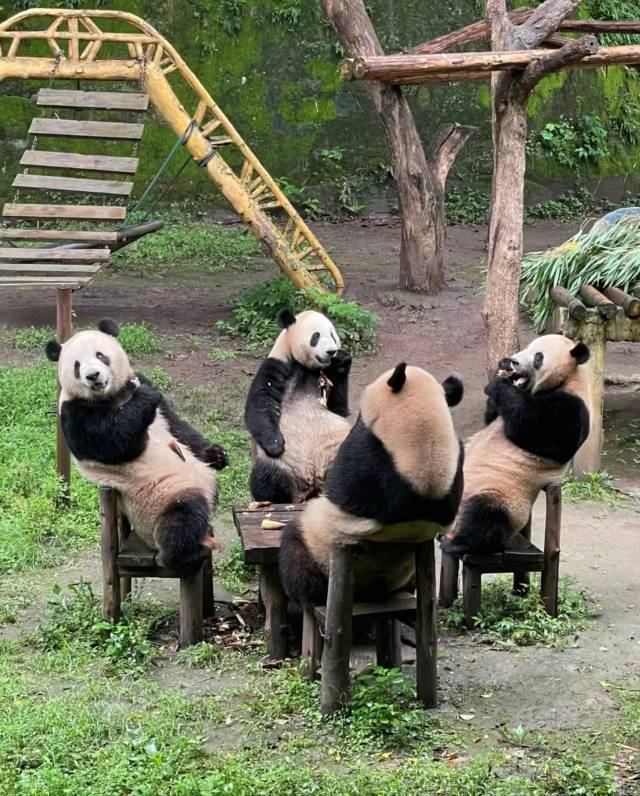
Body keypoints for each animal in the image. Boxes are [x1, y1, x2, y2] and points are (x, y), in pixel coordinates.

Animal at [45, 319, 228, 570]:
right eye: (77, 365)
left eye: (100, 355)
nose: (92, 376)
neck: (110, 396)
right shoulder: (72, 412)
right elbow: (112, 443)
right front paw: (144, 397)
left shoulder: (146, 390)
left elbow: (176, 425)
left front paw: (216, 454)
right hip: (159, 499)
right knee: (182, 518)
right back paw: (188, 552)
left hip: (202, 478)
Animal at [245, 308, 352, 504]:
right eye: (316, 336)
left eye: (333, 335)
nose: (331, 351)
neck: (306, 367)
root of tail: (312, 484)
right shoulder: (277, 365)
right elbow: (260, 404)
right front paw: (275, 444)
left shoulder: (325, 378)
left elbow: (338, 409)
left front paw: (342, 360)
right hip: (283, 464)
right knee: (269, 475)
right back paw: (276, 497)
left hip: (337, 452)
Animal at [279, 363, 465, 606]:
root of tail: (367, 593)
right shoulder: (456, 467)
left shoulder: (364, 461)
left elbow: (339, 484)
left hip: (318, 545)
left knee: (296, 553)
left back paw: (301, 598)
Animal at [442, 334, 591, 557]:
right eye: (527, 347)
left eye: (538, 356)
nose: (512, 361)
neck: (568, 378)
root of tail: (452, 522)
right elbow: (492, 419)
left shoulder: (572, 409)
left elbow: (534, 429)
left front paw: (499, 382)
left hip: (504, 496)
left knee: (485, 516)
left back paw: (459, 542)